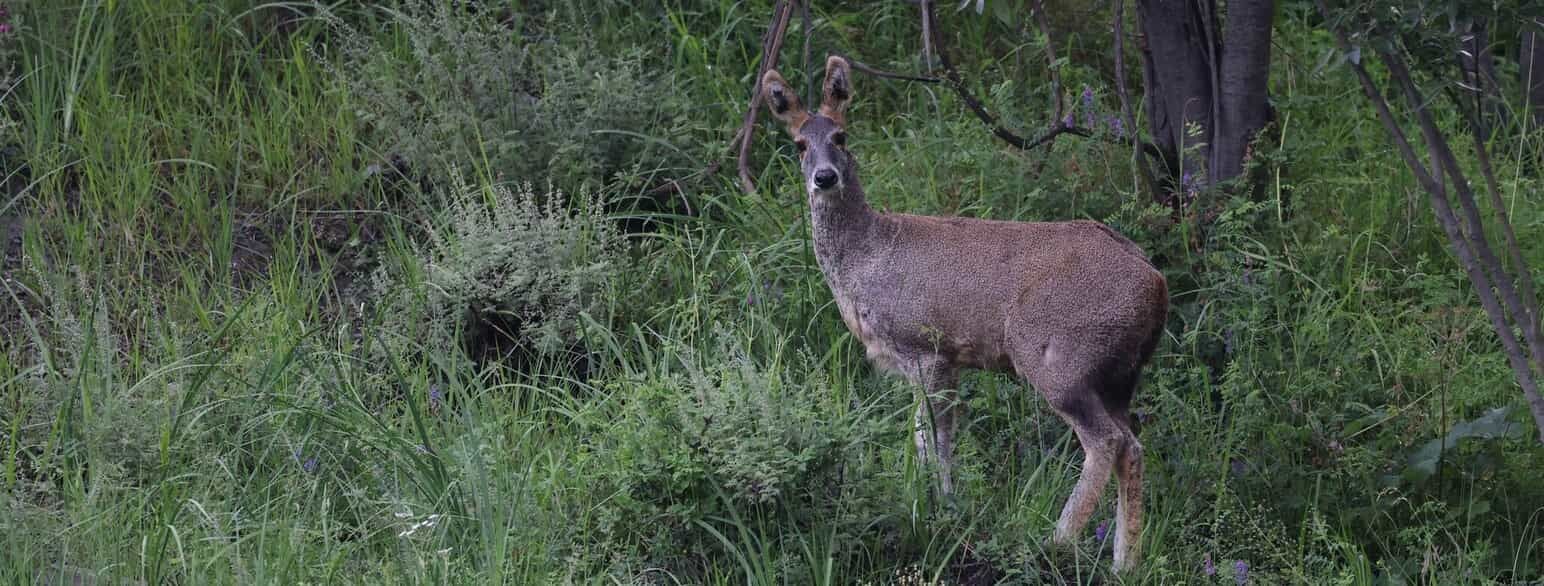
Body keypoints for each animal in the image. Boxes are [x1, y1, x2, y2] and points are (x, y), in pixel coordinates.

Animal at [759, 55, 1167, 573]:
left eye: (841, 136)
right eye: (798, 143)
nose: (825, 177)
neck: (866, 257)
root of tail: (1156, 284)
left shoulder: (926, 346)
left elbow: (937, 439)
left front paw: (943, 512)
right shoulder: (940, 361)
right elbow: (924, 436)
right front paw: (928, 506)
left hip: (1057, 356)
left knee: (1105, 442)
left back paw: (1055, 542)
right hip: (1119, 374)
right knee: (1131, 445)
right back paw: (1123, 563)